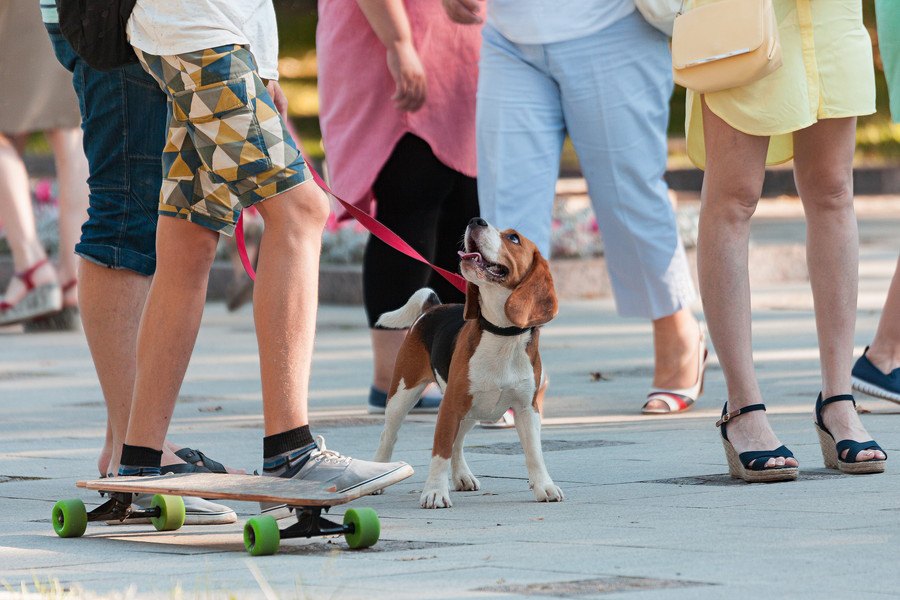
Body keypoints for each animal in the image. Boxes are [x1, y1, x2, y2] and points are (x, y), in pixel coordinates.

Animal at [374, 218, 564, 508]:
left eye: (513, 238)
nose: (476, 220)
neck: (501, 333)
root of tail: (433, 307)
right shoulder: (450, 407)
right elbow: (440, 451)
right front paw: (435, 492)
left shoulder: (527, 409)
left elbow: (534, 453)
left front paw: (544, 486)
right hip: (403, 394)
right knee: (389, 435)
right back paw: (382, 473)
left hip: (472, 410)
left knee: (458, 441)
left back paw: (462, 476)